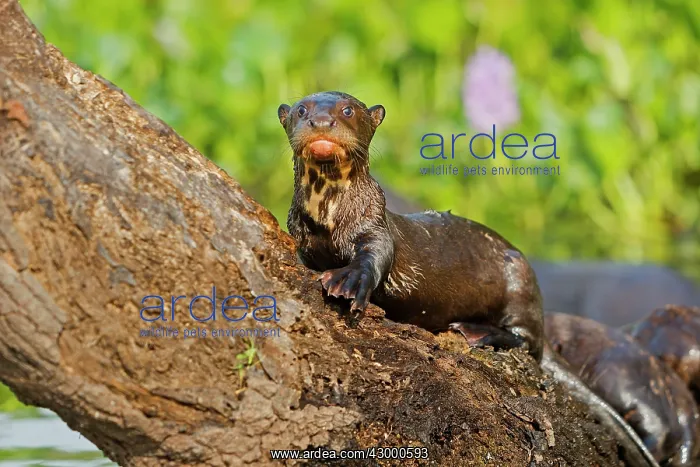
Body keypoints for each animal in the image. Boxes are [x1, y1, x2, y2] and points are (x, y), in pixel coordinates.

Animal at [277, 91, 660, 467]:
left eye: (348, 110)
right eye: (301, 109)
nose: (321, 121)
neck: (329, 217)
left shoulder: (375, 225)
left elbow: (373, 256)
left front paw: (350, 280)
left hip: (519, 280)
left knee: (528, 342)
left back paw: (479, 331)